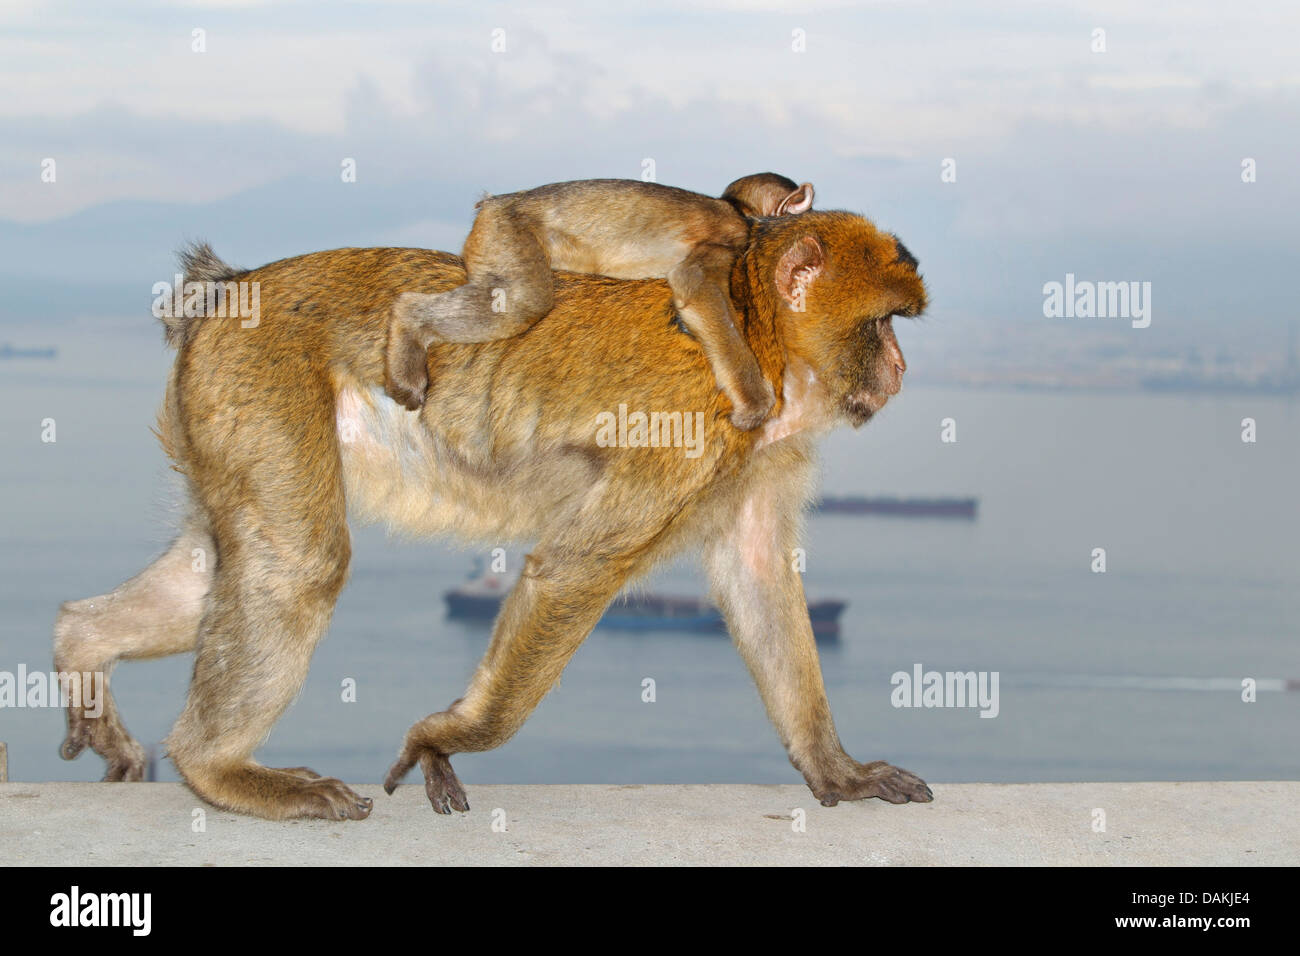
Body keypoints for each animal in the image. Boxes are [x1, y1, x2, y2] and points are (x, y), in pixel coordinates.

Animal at [50, 208, 925, 816]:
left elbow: (757, 574)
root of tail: (231, 287)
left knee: (222, 563)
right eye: (882, 324)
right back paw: (217, 769)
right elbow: (569, 574)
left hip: (221, 411)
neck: (762, 341)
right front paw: (443, 739)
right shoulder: (693, 432)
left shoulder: (756, 455)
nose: (902, 369)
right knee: (301, 566)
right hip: (259, 378)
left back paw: (82, 642)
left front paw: (834, 768)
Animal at [382, 172, 811, 429]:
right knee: (523, 300)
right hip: (506, 231)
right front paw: (755, 403)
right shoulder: (729, 236)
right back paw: (409, 324)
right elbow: (696, 286)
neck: (737, 210)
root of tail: (493, 203)